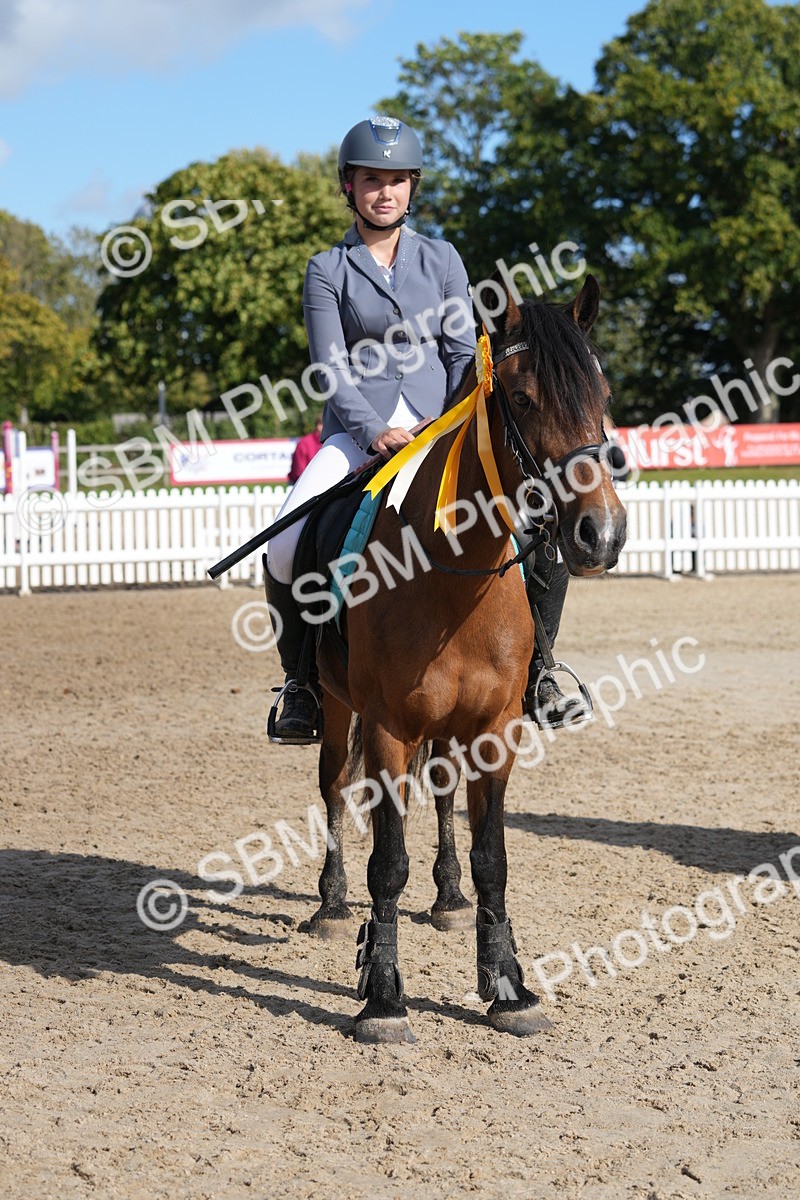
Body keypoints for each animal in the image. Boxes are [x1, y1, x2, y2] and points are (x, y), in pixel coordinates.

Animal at [295, 274, 626, 1043]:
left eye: (601, 394)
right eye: (524, 398)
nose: (601, 533)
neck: (454, 573)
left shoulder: (495, 729)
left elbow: (491, 857)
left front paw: (508, 987)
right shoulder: (386, 728)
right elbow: (387, 862)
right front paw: (383, 998)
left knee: (442, 794)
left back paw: (446, 897)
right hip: (337, 708)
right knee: (333, 788)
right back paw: (331, 904)